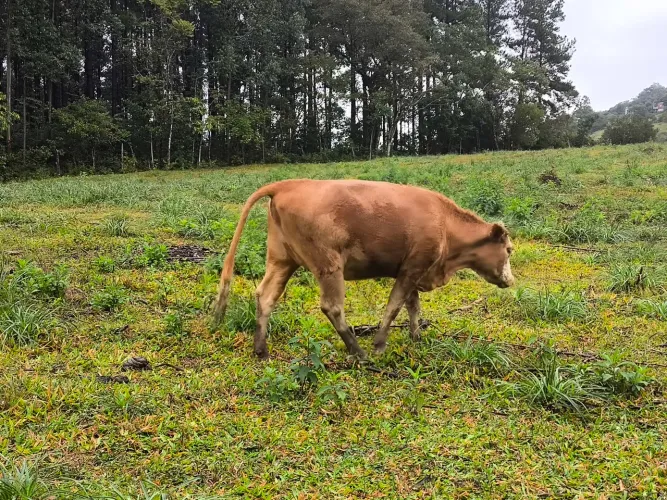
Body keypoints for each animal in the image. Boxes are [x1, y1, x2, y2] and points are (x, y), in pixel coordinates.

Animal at [212, 179, 515, 359]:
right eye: (509, 250)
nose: (510, 281)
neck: (446, 225)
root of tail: (289, 184)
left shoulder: (411, 270)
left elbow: (413, 307)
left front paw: (416, 336)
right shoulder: (412, 269)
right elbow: (394, 307)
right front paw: (380, 344)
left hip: (282, 260)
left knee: (265, 296)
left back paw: (261, 349)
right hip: (329, 265)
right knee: (332, 307)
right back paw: (358, 351)